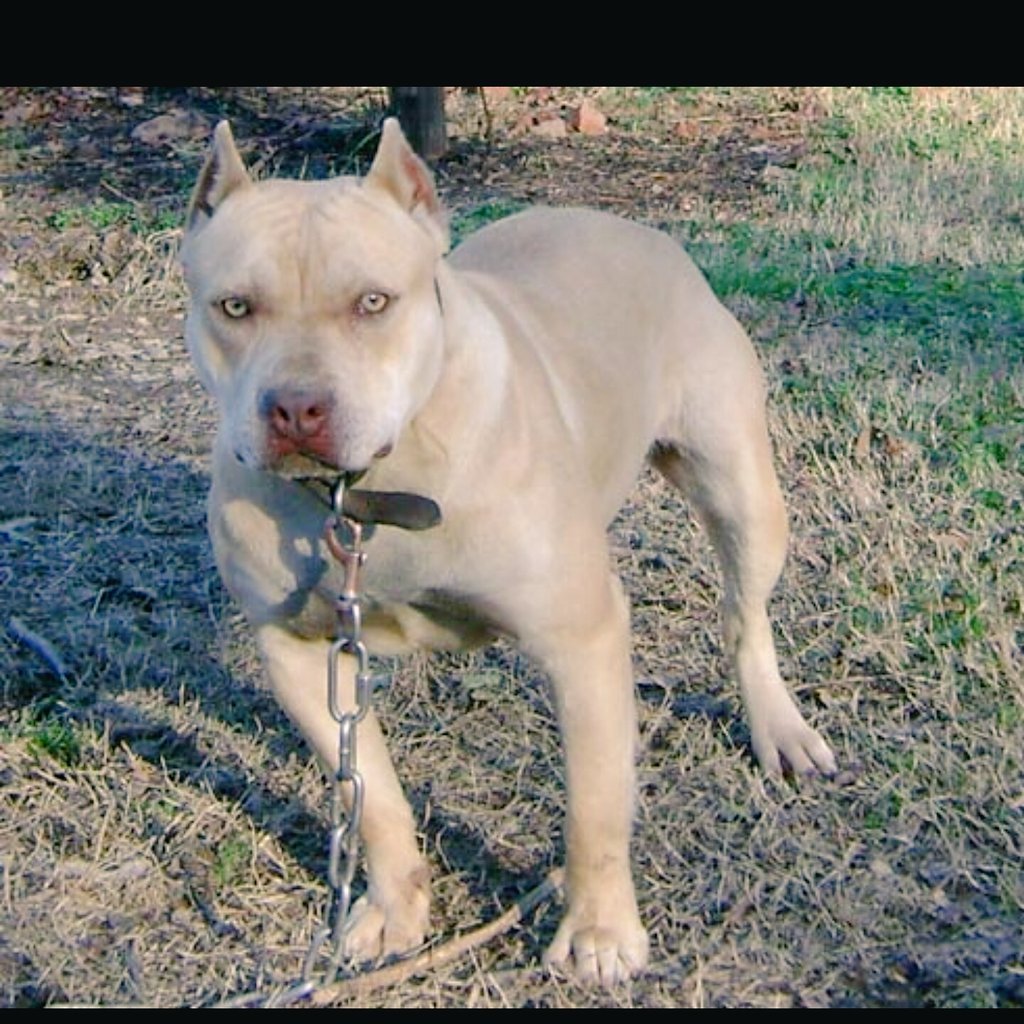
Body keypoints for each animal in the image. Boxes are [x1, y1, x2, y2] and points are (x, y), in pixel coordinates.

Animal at [180, 118, 836, 987]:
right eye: (235, 307)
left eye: (373, 302)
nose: (295, 408)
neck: (372, 489)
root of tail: (628, 225)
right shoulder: (298, 652)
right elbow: (373, 798)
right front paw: (394, 910)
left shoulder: (580, 639)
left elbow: (594, 807)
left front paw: (599, 934)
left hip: (743, 491)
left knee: (743, 613)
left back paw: (779, 728)